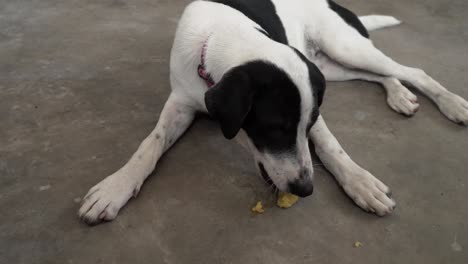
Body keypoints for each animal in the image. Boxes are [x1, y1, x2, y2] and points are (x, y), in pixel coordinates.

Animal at [78, 0, 468, 225]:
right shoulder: (180, 101)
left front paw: (359, 182)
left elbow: (331, 146)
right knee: (382, 74)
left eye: (306, 124)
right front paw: (115, 187)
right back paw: (400, 96)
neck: (222, 33)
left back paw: (452, 103)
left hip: (343, 48)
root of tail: (333, 2)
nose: (306, 189)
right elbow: (149, 145)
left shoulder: (313, 102)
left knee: (412, 70)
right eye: (274, 128)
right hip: (331, 66)